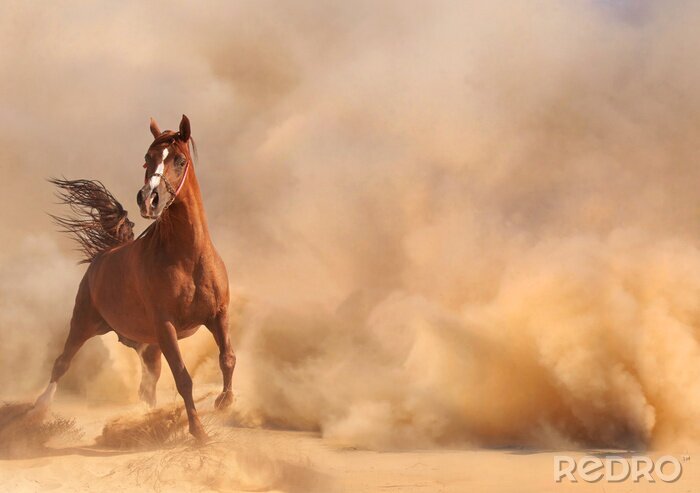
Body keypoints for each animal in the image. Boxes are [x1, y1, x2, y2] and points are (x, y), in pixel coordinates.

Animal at [33, 115, 234, 441]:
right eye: (147, 158)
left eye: (179, 160)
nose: (148, 200)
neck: (188, 258)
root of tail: (103, 255)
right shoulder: (166, 327)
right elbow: (183, 377)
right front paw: (198, 432)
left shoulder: (218, 315)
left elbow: (227, 358)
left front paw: (224, 402)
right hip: (84, 323)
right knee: (62, 363)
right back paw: (37, 410)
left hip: (146, 344)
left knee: (147, 386)